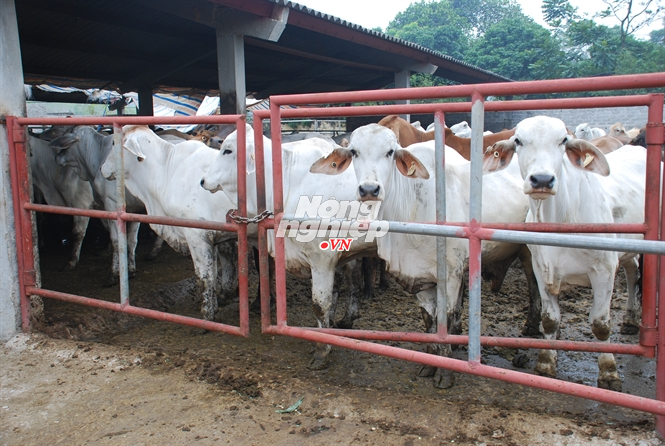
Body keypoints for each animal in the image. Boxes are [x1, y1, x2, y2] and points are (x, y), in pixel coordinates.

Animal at [51, 126, 165, 286]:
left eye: (67, 143)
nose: (56, 158)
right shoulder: (134, 210)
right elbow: (131, 241)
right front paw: (131, 270)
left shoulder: (110, 205)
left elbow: (116, 241)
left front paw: (113, 275)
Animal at [100, 126, 238, 320]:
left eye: (113, 142)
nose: (102, 168)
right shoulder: (217, 236)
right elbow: (219, 267)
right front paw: (219, 301)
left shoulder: (197, 235)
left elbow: (205, 276)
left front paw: (207, 315)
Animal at [200, 125, 377, 369]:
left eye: (227, 150)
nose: (202, 180)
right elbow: (344, 286)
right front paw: (339, 324)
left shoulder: (322, 257)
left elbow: (320, 303)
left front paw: (322, 349)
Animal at [309, 124, 540, 389]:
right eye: (354, 151)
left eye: (390, 152)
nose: (369, 189)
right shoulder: (419, 275)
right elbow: (429, 319)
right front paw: (430, 361)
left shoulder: (450, 274)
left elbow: (445, 319)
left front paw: (446, 371)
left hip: (532, 252)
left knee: (535, 286)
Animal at [483, 115, 647, 391]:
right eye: (519, 141)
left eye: (563, 140)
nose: (541, 180)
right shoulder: (541, 267)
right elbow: (550, 319)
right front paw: (546, 362)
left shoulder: (603, 270)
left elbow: (600, 325)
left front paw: (609, 373)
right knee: (632, 270)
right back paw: (631, 319)